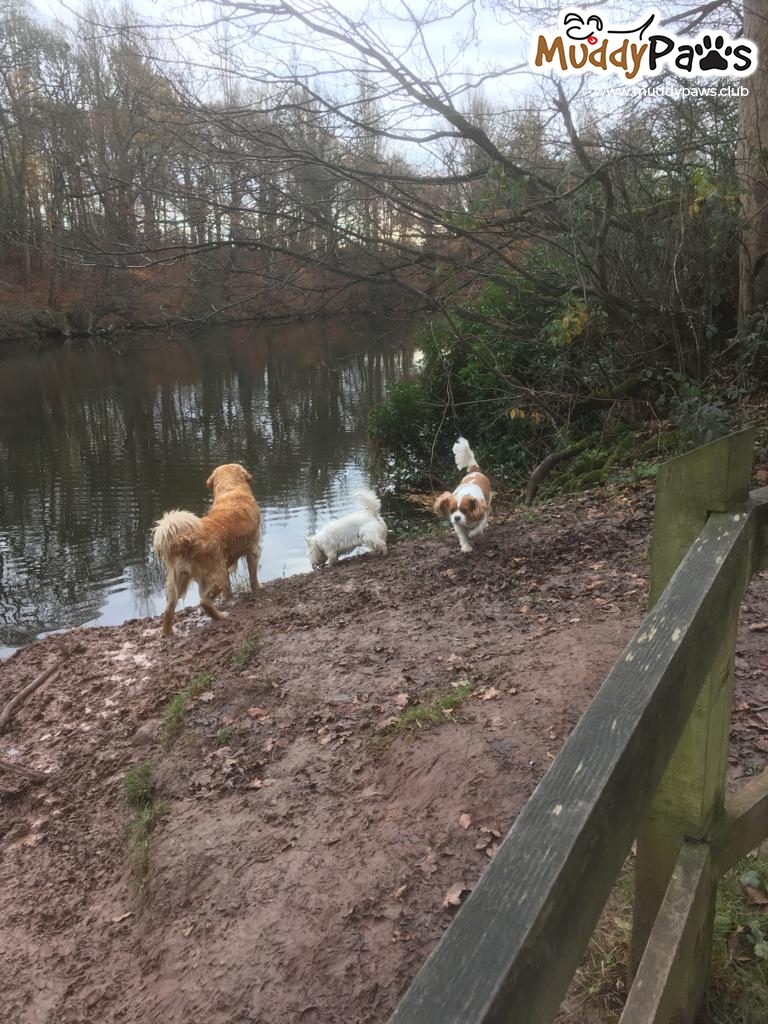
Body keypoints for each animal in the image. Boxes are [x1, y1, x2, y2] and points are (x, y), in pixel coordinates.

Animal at [153, 463, 261, 636]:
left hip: (178, 581)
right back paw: (221, 616)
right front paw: (258, 588)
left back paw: (168, 633)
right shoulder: (253, 550)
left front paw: (229, 600)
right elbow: (253, 576)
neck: (231, 490)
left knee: (169, 610)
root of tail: (184, 540)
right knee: (204, 601)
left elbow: (228, 590)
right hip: (217, 575)